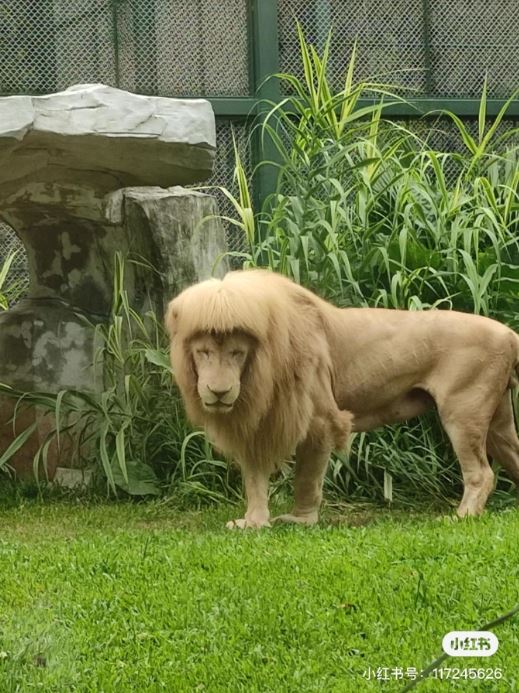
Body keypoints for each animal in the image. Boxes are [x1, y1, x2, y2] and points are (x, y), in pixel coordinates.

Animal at [166, 268, 519, 528]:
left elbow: (307, 477)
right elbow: (254, 479)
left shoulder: (321, 419)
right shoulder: (257, 423)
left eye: (237, 353)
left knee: (482, 473)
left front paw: (300, 520)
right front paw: (252, 522)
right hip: (498, 422)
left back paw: (461, 516)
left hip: (463, 411)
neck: (259, 371)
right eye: (203, 352)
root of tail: (509, 333)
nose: (219, 391)